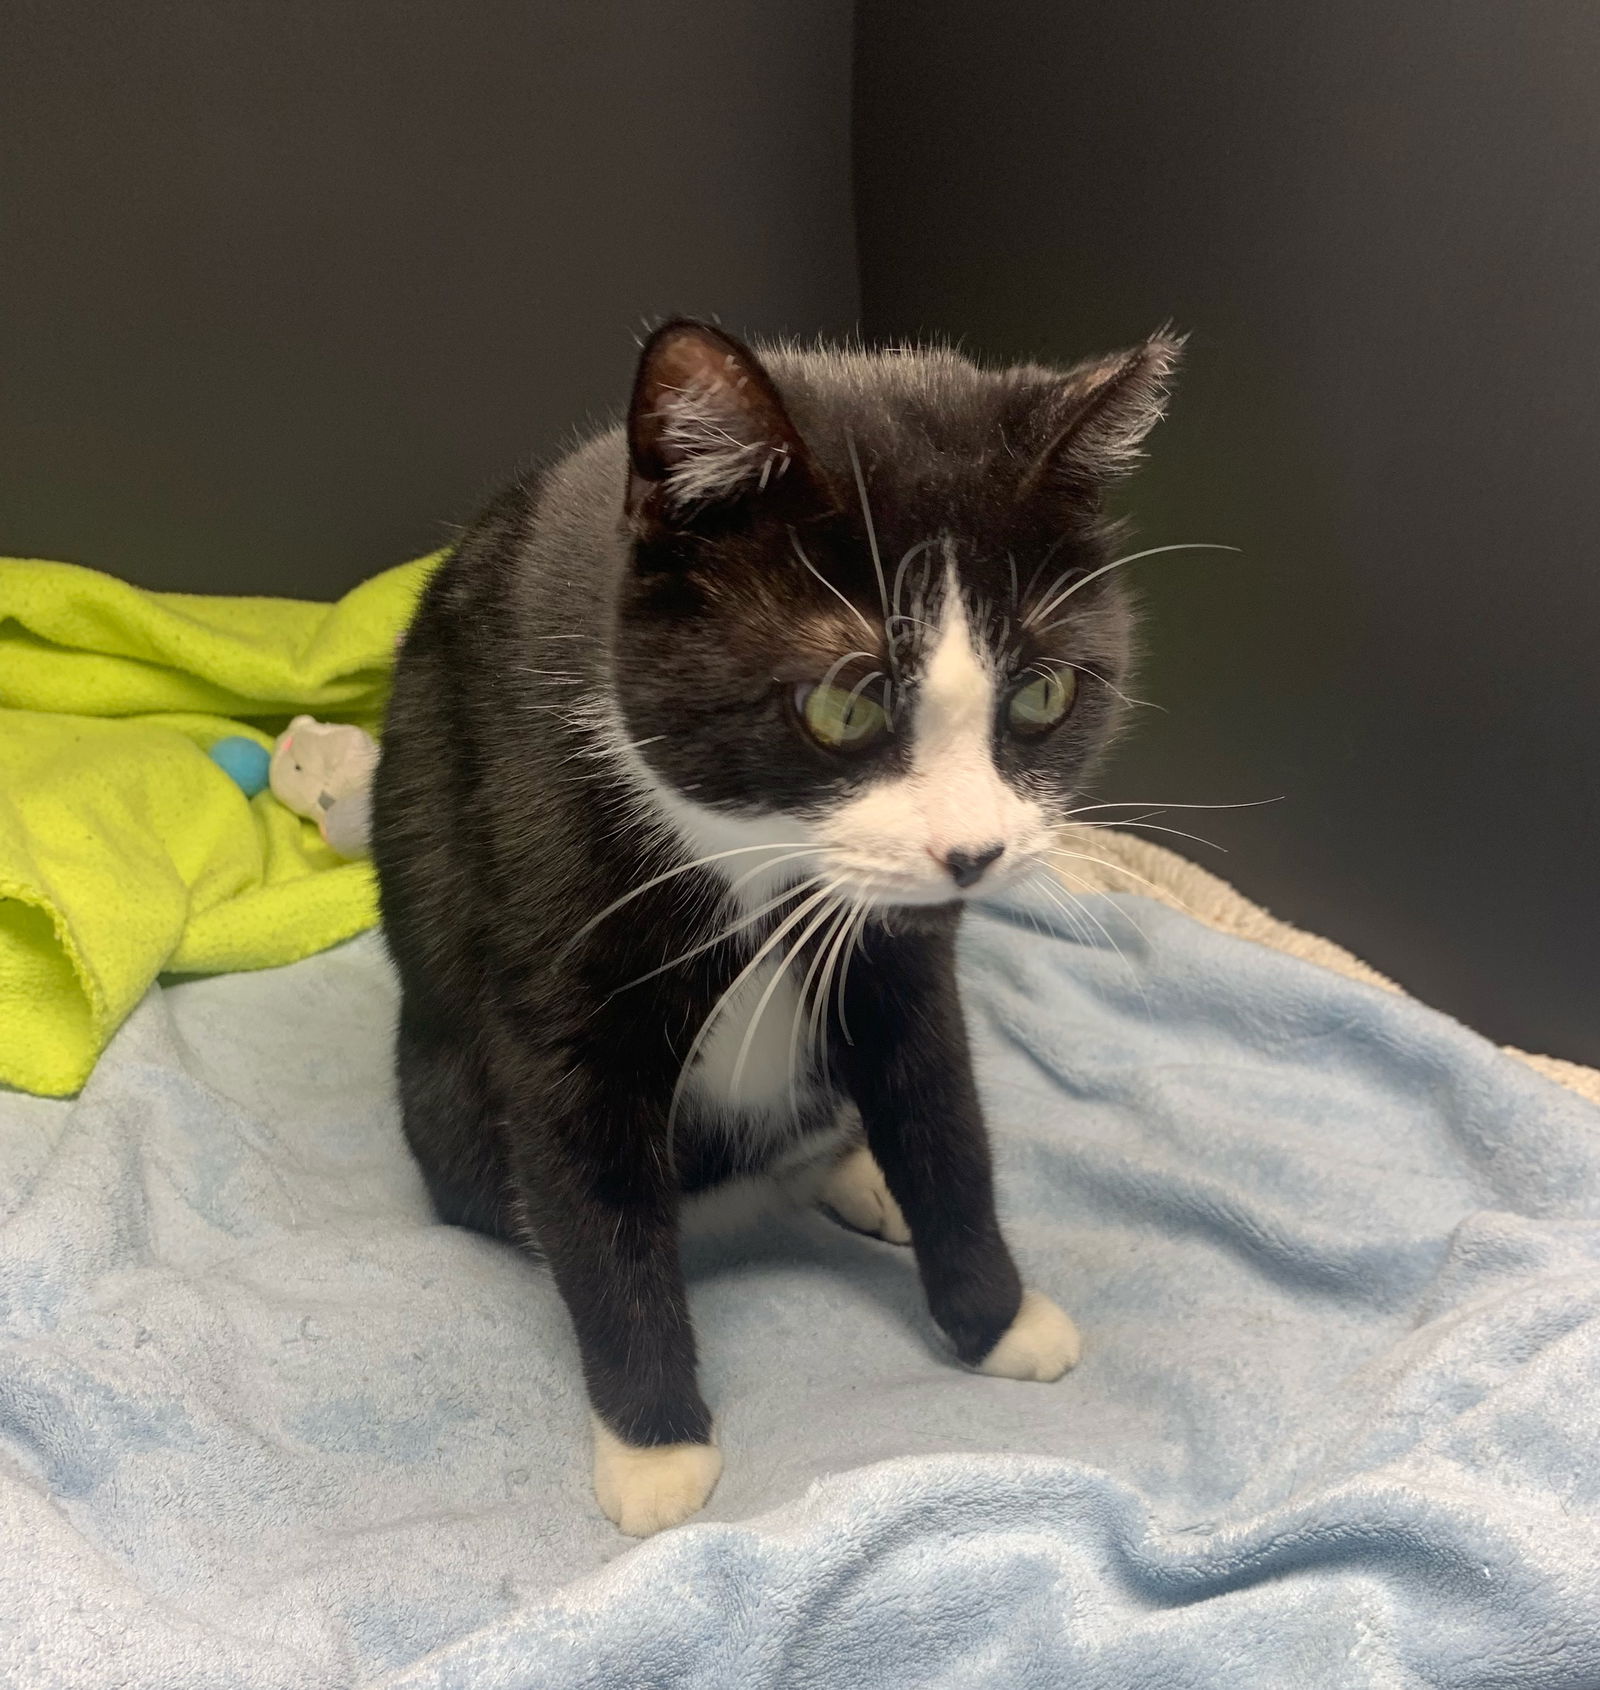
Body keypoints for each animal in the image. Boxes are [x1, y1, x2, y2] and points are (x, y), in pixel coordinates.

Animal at [371, 314, 1175, 1534]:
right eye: (844, 704)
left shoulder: (902, 954)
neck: (758, 859)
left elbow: (940, 1107)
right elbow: (589, 1181)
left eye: (1042, 694)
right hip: (442, 1100)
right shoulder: (554, 937)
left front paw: (996, 1315)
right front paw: (654, 1448)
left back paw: (859, 1178)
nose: (974, 852)